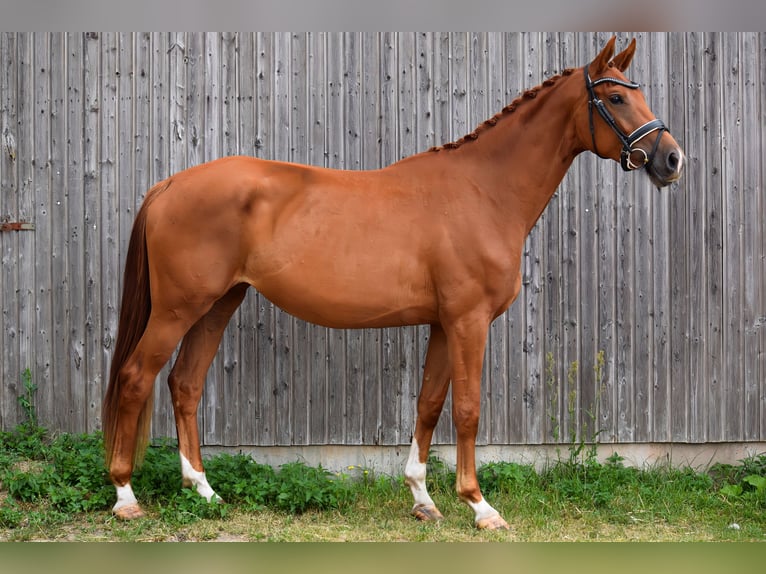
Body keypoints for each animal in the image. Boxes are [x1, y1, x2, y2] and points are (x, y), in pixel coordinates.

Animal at [102, 36, 684, 530]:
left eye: (639, 93)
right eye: (615, 96)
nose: (671, 159)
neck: (483, 191)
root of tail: (169, 184)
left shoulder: (444, 324)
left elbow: (428, 405)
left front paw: (424, 500)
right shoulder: (468, 321)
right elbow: (467, 410)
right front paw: (480, 506)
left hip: (219, 303)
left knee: (185, 384)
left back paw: (204, 490)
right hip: (178, 308)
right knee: (136, 377)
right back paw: (126, 497)